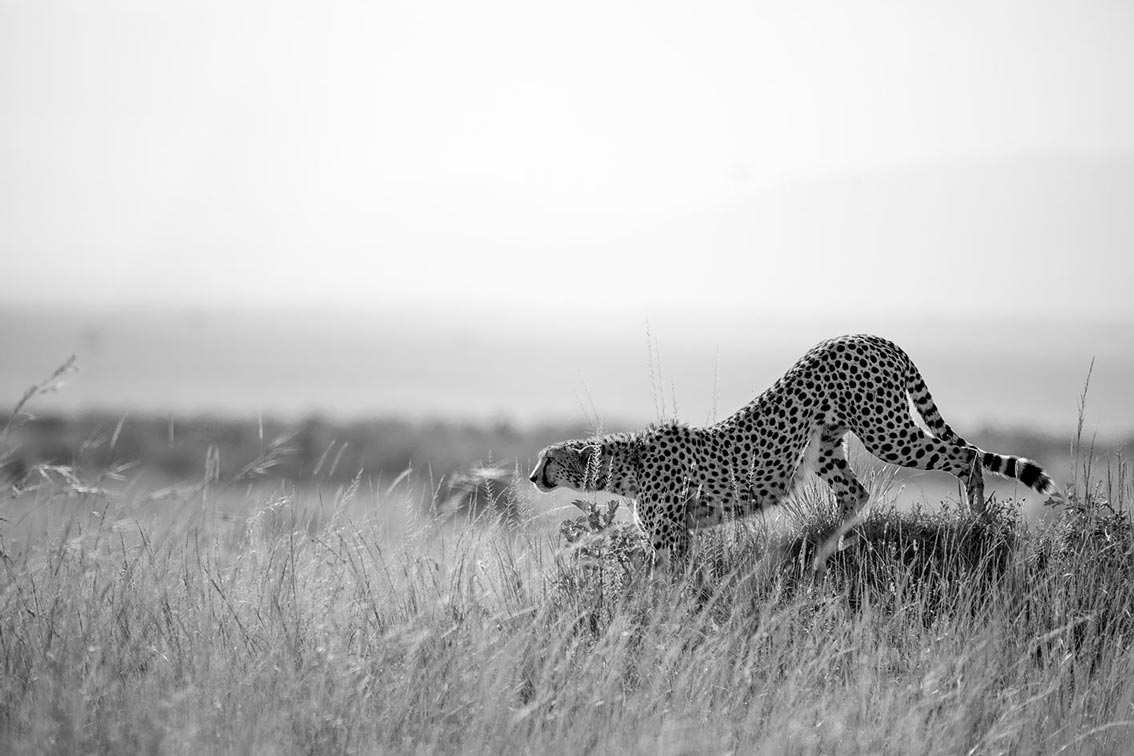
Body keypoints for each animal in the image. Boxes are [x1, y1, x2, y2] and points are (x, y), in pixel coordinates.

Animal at [529, 334, 1054, 571]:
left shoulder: (671, 538)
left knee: (966, 455)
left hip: (886, 430)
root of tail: (871, 335)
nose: (533, 477)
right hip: (826, 447)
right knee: (856, 494)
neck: (628, 463)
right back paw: (826, 547)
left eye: (548, 459)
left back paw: (977, 518)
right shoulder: (681, 534)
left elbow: (664, 585)